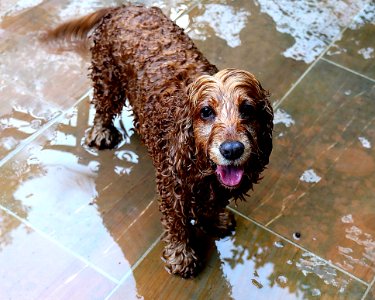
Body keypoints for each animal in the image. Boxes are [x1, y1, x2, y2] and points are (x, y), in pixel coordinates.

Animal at [48, 4, 274, 278]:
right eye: (206, 111)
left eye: (248, 109)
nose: (232, 150)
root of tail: (125, 6)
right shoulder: (171, 185)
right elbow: (176, 223)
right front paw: (181, 256)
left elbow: (211, 205)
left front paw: (215, 221)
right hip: (106, 75)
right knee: (103, 105)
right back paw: (101, 132)